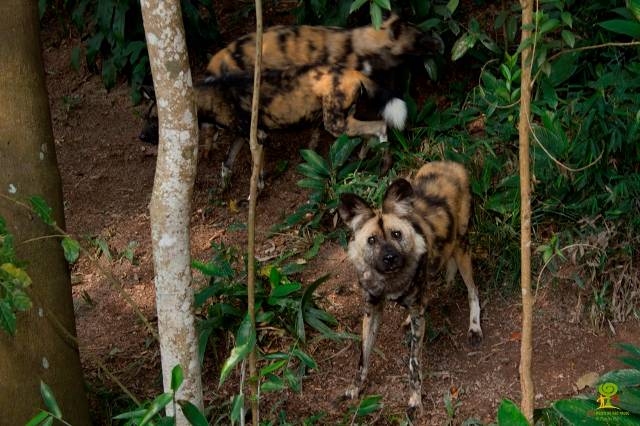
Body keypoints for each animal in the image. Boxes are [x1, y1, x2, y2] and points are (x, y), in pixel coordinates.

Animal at [140, 65, 408, 188]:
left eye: (154, 120)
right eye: (146, 117)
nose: (141, 137)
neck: (212, 96)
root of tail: (351, 70)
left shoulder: (258, 137)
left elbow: (254, 169)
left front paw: (256, 191)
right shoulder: (243, 135)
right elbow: (227, 161)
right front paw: (224, 185)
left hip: (335, 124)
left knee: (381, 126)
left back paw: (384, 164)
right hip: (343, 121)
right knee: (368, 132)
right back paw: (364, 159)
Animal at [338, 161, 482, 418]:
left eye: (397, 235)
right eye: (372, 240)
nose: (390, 258)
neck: (390, 281)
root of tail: (451, 164)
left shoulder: (416, 315)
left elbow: (413, 364)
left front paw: (415, 400)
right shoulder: (372, 310)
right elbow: (363, 356)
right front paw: (355, 388)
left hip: (461, 246)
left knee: (473, 290)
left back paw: (474, 326)